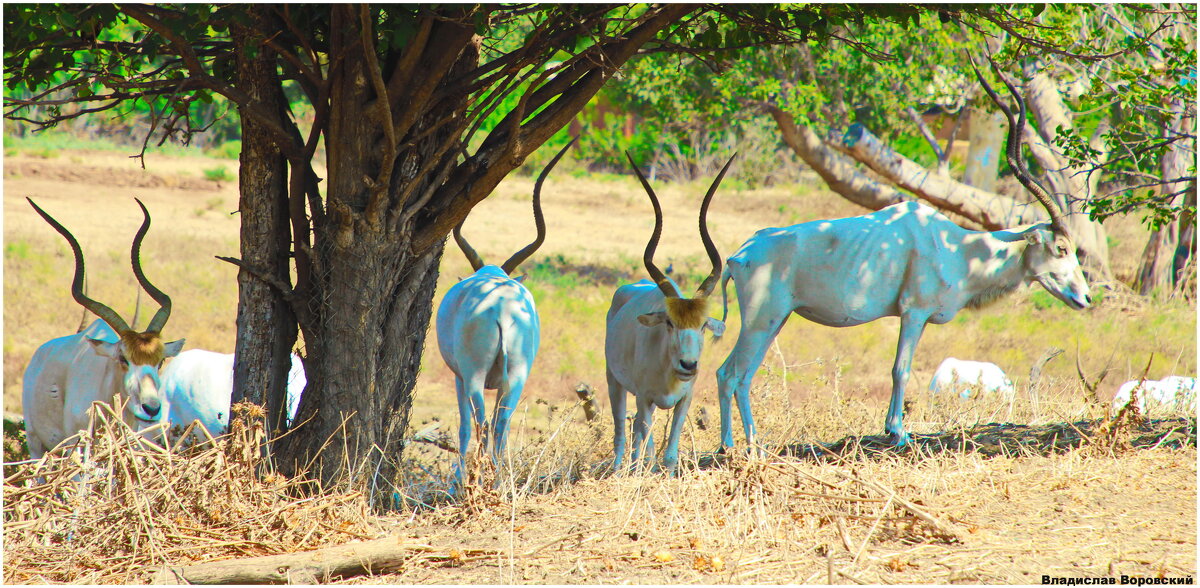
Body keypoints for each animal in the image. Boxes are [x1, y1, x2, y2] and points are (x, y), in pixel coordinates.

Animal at [710, 58, 1099, 446]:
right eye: (1061, 248)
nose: (1085, 298)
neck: (957, 249)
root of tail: (740, 255)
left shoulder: (916, 316)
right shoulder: (913, 313)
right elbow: (901, 368)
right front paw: (897, 431)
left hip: (776, 320)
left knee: (742, 374)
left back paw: (751, 443)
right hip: (761, 319)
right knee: (729, 372)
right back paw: (733, 446)